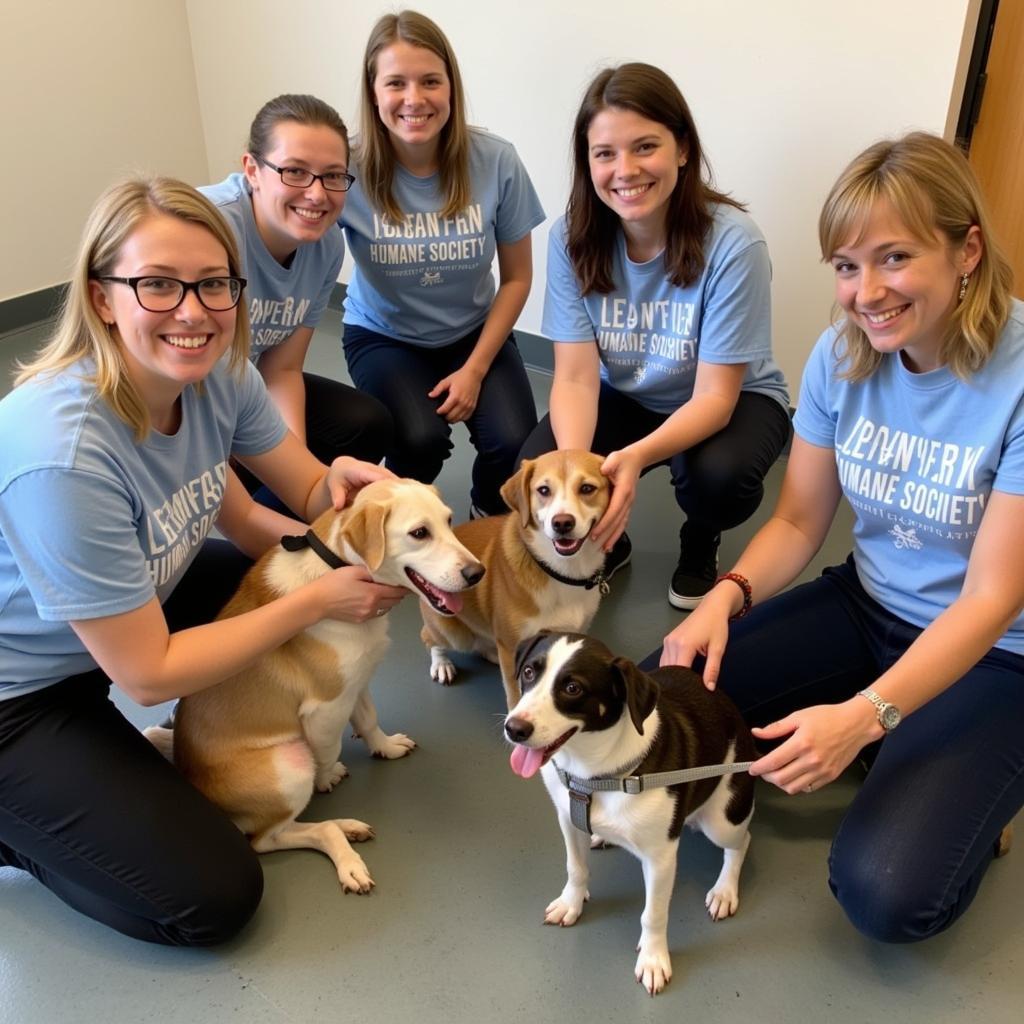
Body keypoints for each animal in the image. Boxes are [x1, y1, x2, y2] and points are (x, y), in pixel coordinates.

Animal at [144, 477, 483, 888]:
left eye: (449, 521)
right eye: (420, 533)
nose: (477, 572)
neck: (339, 566)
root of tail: (189, 774)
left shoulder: (357, 680)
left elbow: (369, 721)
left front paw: (385, 747)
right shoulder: (326, 708)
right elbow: (327, 749)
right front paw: (327, 778)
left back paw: (347, 829)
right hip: (289, 763)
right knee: (269, 839)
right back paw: (343, 847)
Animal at [417, 452, 610, 708]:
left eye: (587, 488)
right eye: (544, 490)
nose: (562, 523)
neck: (560, 570)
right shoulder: (511, 646)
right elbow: (515, 695)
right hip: (451, 632)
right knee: (429, 637)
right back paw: (442, 664)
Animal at [501, 626, 753, 995]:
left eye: (573, 688)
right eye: (530, 672)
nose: (514, 729)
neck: (597, 775)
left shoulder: (661, 858)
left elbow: (653, 914)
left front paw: (653, 959)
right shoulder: (568, 819)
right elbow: (575, 869)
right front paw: (570, 904)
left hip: (722, 821)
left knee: (741, 842)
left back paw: (724, 890)